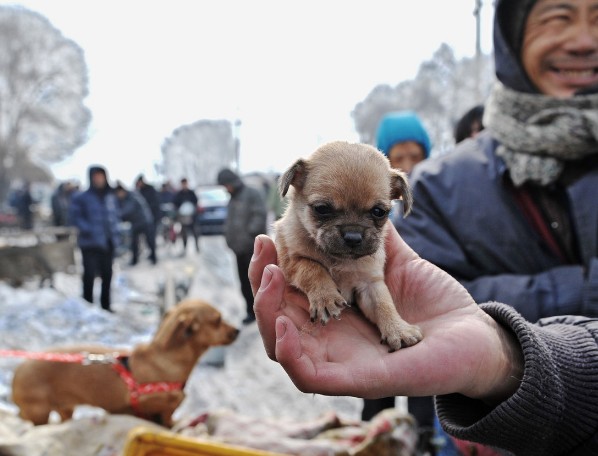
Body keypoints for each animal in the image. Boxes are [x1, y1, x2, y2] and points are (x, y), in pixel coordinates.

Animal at [10, 300, 240, 428]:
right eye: (217, 320)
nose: (237, 330)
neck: (166, 358)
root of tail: (18, 370)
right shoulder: (150, 403)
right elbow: (164, 415)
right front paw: (169, 424)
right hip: (39, 412)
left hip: (65, 408)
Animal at [274, 141, 424, 350]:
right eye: (322, 209)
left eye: (379, 212)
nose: (353, 236)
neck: (339, 260)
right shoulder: (291, 260)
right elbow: (312, 268)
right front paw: (326, 297)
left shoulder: (370, 283)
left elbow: (383, 303)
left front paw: (398, 329)